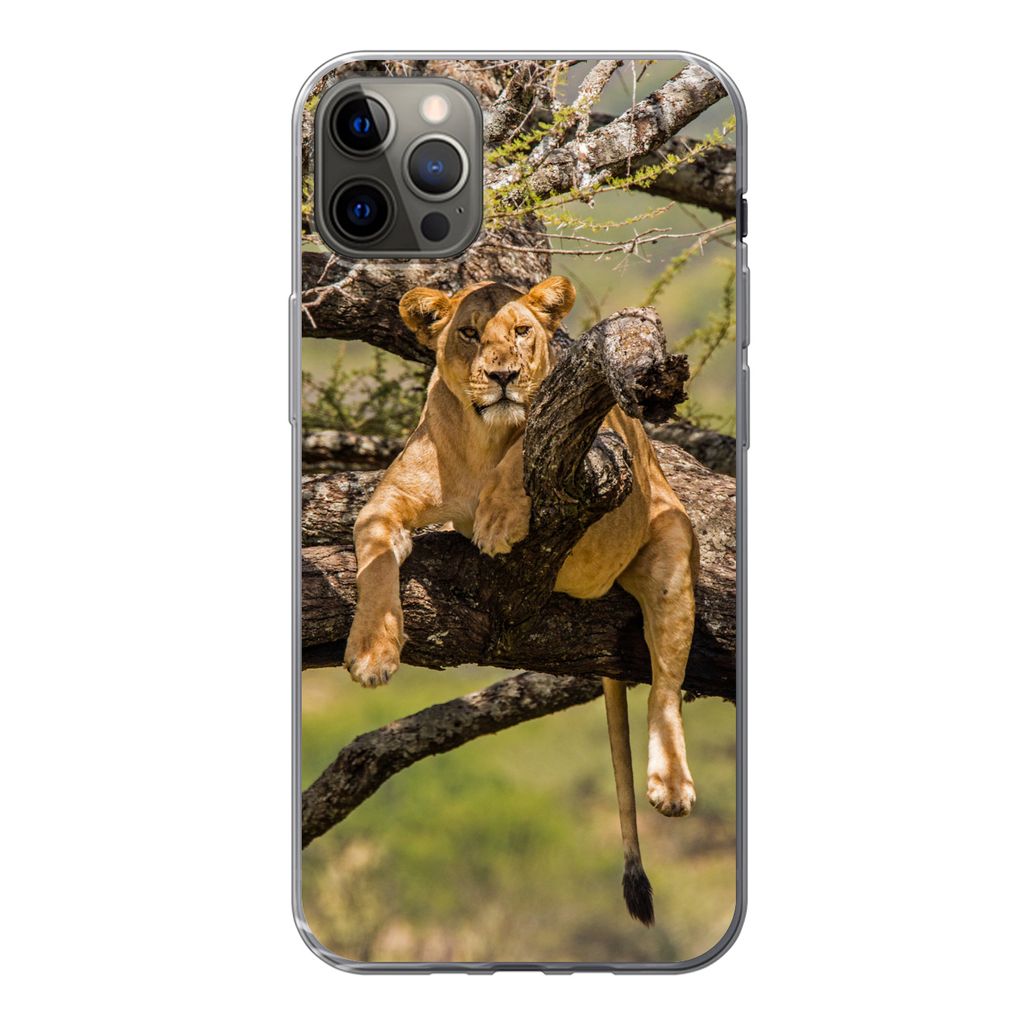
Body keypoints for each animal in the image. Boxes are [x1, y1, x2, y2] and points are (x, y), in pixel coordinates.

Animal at [343, 277, 699, 926]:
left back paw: (671, 784)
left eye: (521, 331)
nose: (504, 374)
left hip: (669, 546)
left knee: (665, 684)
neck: (482, 439)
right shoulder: (383, 507)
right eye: (467, 332)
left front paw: (499, 519)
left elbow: (523, 451)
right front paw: (372, 653)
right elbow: (376, 565)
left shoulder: (594, 445)